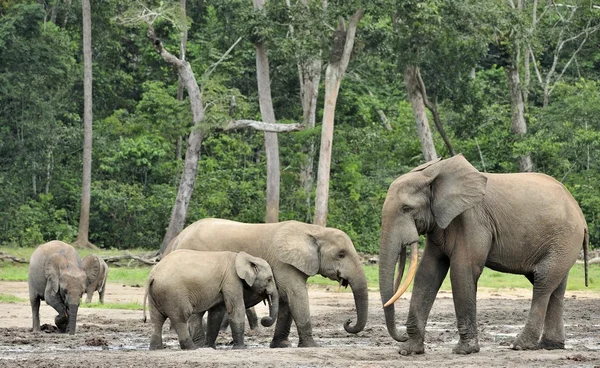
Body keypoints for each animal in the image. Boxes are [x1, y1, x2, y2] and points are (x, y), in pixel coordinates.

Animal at [144, 249, 278, 350]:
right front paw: (240, 348)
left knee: (157, 320)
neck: (246, 257)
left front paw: (210, 347)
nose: (265, 319)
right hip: (173, 293)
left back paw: (156, 348)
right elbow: (236, 309)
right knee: (180, 319)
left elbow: (216, 313)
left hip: (155, 294)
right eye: (269, 279)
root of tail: (152, 276)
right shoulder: (231, 279)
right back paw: (191, 348)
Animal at [171, 218, 368, 348]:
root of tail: (178, 238)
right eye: (341, 254)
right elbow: (296, 295)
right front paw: (312, 346)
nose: (348, 321)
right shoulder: (283, 262)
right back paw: (199, 345)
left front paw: (281, 345)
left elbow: (287, 300)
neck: (314, 230)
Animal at [378, 154, 588, 356]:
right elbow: (427, 273)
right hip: (561, 242)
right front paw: (409, 351)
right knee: (556, 288)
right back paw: (550, 345)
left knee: (543, 283)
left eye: (406, 208)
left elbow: (462, 271)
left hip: (565, 238)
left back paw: (520, 346)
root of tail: (580, 214)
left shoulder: (472, 219)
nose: (402, 336)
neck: (432, 175)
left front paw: (464, 351)